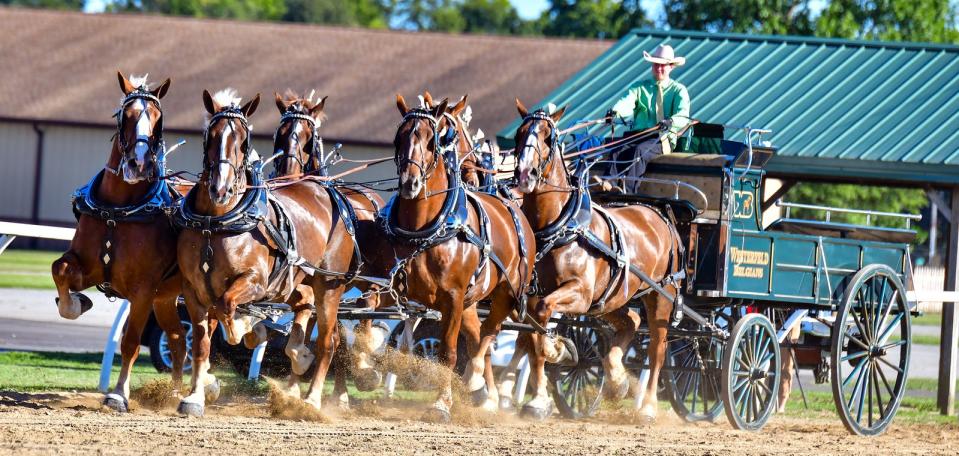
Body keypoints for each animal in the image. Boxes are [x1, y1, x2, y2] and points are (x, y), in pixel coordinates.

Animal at [50, 73, 188, 412]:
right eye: (126, 115)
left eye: (157, 118)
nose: (139, 163)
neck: (119, 210)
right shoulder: (89, 267)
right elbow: (60, 268)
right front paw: (74, 303)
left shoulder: (143, 290)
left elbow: (130, 342)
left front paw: (118, 393)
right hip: (166, 298)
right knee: (179, 340)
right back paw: (174, 394)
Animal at [176, 89, 360, 416]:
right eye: (210, 135)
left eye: (243, 140)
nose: (220, 189)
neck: (215, 221)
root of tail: (325, 188)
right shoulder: (193, 290)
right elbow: (200, 344)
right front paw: (195, 395)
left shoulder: (255, 282)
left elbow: (226, 306)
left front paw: (243, 328)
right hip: (294, 279)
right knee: (304, 306)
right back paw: (298, 358)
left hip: (329, 284)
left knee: (328, 340)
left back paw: (312, 398)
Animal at [384, 94, 536, 422]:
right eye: (398, 138)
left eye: (433, 140)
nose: (409, 183)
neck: (428, 228)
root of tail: (515, 209)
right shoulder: (402, 294)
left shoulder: (452, 297)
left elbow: (448, 353)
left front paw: (441, 403)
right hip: (470, 301)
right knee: (479, 337)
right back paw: (485, 394)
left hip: (505, 294)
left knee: (489, 334)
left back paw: (477, 381)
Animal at [510, 101, 684, 422]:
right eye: (519, 133)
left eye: (548, 137)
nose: (525, 173)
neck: (561, 226)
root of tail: (660, 213)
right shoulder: (532, 295)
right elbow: (531, 338)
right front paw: (539, 399)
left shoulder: (579, 294)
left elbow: (541, 320)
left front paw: (557, 351)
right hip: (611, 300)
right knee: (632, 321)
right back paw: (616, 378)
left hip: (660, 296)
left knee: (657, 349)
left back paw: (648, 407)